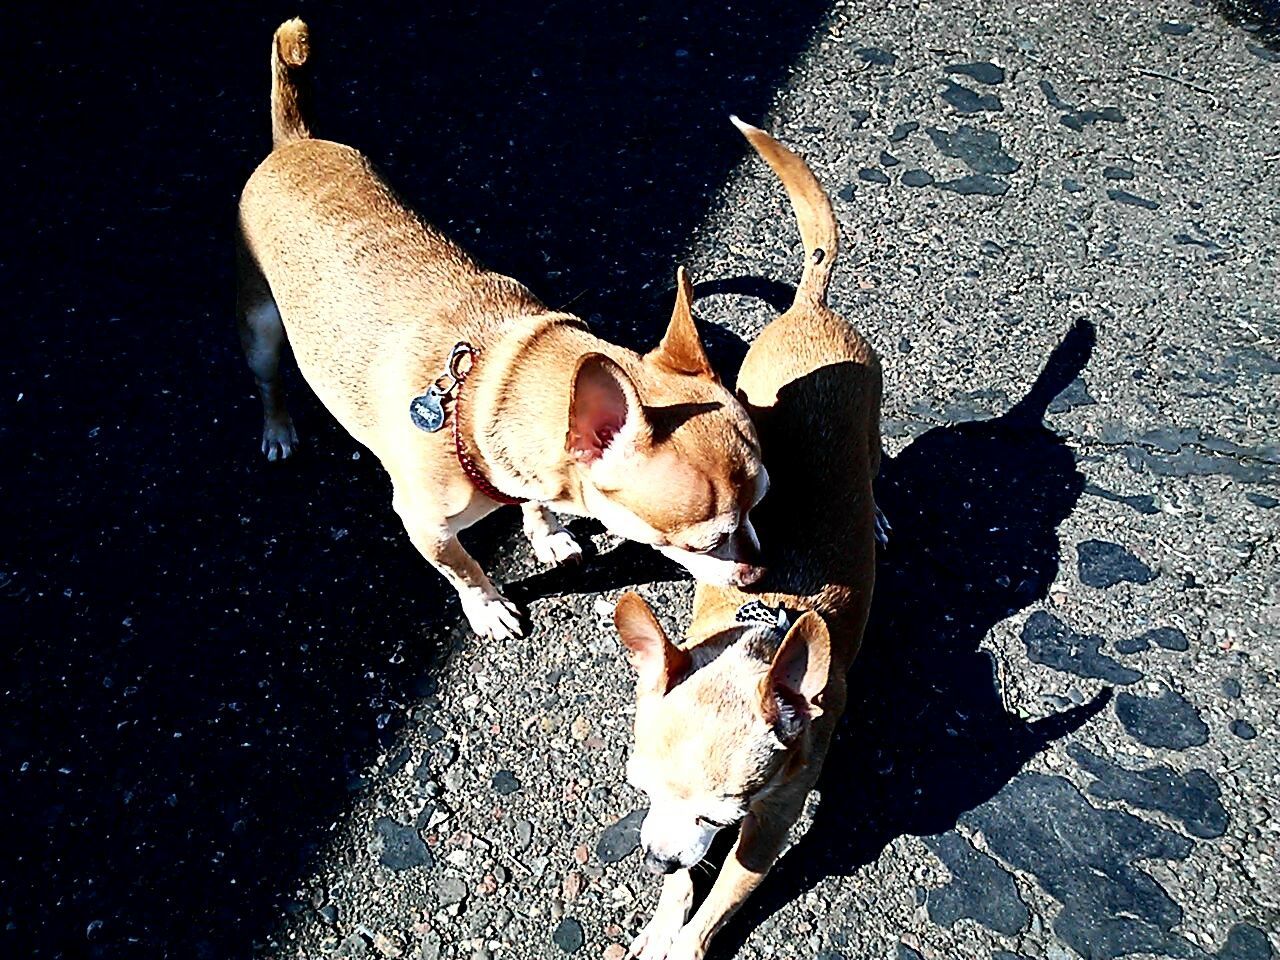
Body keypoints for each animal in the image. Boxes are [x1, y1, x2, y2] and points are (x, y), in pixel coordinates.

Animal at [238, 18, 768, 640]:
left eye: (759, 504)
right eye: (706, 542)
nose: (760, 571)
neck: (482, 386)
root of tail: (293, 142)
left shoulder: (528, 472)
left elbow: (534, 504)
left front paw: (548, 533)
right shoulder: (425, 527)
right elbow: (463, 568)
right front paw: (486, 605)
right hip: (260, 325)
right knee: (268, 379)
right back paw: (278, 430)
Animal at [614, 116, 885, 957]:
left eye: (717, 814)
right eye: (638, 788)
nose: (653, 854)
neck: (766, 633)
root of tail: (808, 308)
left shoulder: (766, 829)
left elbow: (721, 900)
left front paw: (684, 938)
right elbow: (688, 886)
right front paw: (665, 909)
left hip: (871, 417)